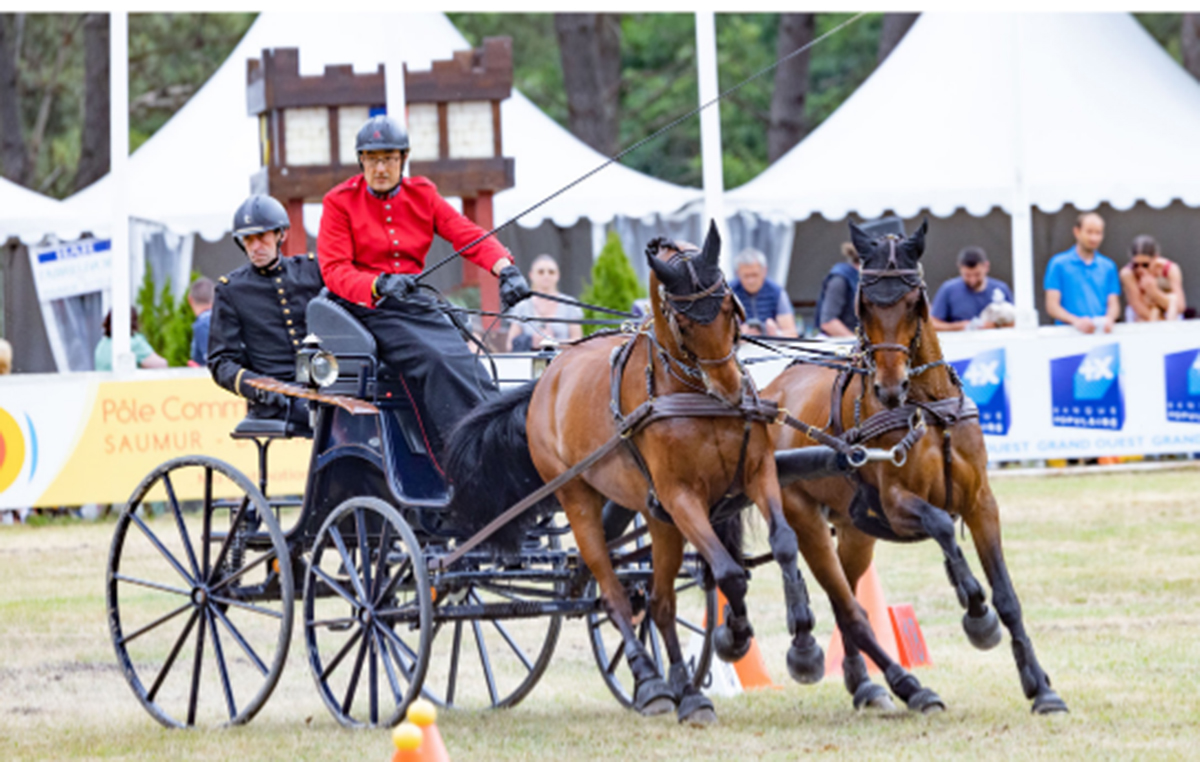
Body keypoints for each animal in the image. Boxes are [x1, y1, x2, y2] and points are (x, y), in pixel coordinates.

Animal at [446, 222, 830, 729]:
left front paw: (804, 647)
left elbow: (783, 544)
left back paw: (688, 693)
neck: (690, 393)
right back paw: (650, 683)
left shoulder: (756, 472)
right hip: (580, 500)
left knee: (657, 602)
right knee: (611, 591)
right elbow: (729, 572)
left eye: (729, 306)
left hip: (656, 517)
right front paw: (734, 638)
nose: (730, 390)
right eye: (683, 323)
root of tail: (548, 375)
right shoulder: (681, 496)